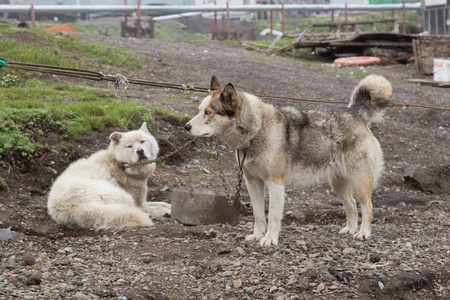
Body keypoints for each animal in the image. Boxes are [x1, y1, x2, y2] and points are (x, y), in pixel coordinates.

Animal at [185, 75, 392, 246]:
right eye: (200, 110)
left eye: (208, 112)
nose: (186, 127)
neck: (257, 130)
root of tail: (354, 112)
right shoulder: (253, 183)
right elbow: (258, 215)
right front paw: (258, 236)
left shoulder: (275, 183)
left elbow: (273, 216)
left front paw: (270, 239)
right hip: (338, 185)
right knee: (351, 206)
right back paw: (350, 229)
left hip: (359, 181)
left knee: (367, 208)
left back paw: (363, 233)